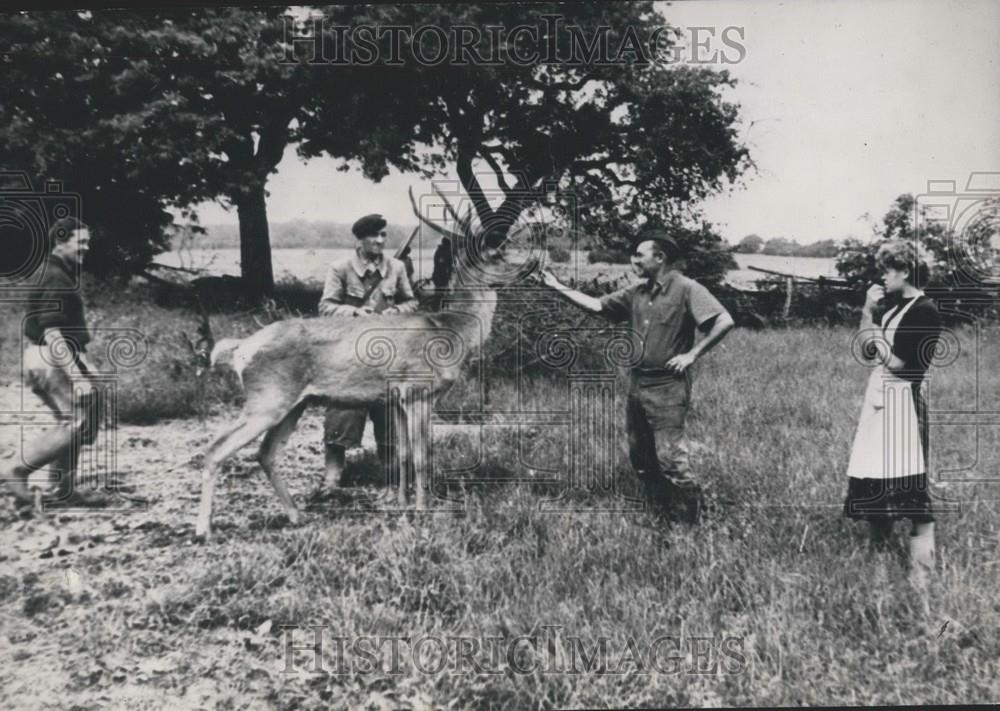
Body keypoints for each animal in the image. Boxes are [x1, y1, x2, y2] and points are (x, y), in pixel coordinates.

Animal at [189, 187, 516, 541]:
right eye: (497, 254)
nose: (530, 266)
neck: (451, 332)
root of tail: (241, 349)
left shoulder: (397, 398)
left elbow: (402, 453)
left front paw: (402, 505)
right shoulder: (418, 391)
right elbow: (421, 455)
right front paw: (423, 512)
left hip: (292, 405)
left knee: (266, 453)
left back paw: (296, 515)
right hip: (267, 398)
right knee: (215, 449)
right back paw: (204, 530)